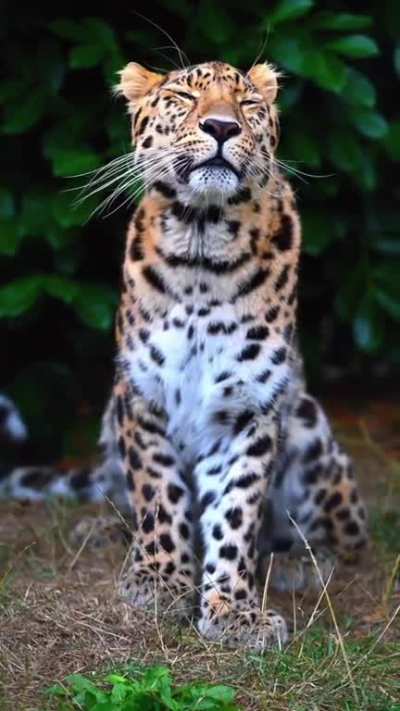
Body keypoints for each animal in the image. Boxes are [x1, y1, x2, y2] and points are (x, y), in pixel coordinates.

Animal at [1, 59, 368, 651]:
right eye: (182, 96)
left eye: (248, 104)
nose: (222, 126)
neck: (201, 245)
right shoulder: (141, 397)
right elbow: (157, 492)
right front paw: (158, 579)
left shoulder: (247, 408)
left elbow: (236, 510)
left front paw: (234, 610)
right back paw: (105, 530)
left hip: (308, 420)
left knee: (350, 535)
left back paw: (304, 560)